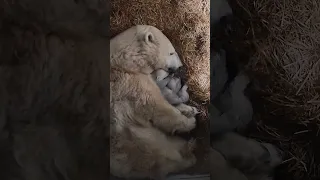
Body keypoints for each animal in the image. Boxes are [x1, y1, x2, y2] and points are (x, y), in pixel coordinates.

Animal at [111, 25, 199, 180]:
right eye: (171, 52)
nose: (181, 67)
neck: (122, 61)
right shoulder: (128, 82)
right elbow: (155, 105)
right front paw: (189, 122)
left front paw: (188, 110)